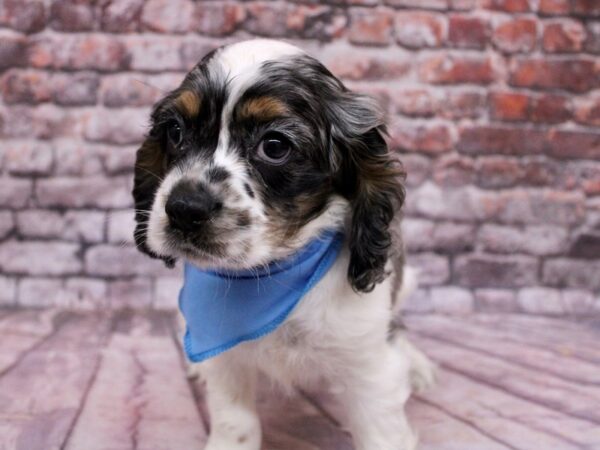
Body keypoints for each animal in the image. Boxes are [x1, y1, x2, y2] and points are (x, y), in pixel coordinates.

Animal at [132, 39, 432, 450]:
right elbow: (235, 424)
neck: (272, 276)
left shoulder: (369, 364)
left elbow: (381, 432)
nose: (184, 209)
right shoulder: (224, 359)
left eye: (275, 146)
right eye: (175, 132)